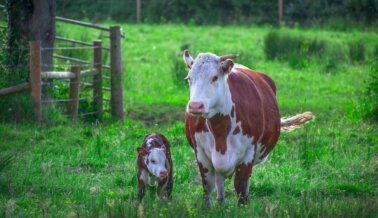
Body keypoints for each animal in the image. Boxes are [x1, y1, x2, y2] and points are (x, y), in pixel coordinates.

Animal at [183, 50, 314, 205]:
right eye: (189, 78)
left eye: (214, 77)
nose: (195, 106)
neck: (220, 130)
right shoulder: (200, 151)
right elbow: (207, 185)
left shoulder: (249, 152)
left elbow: (241, 184)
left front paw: (243, 205)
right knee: (219, 181)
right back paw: (221, 203)